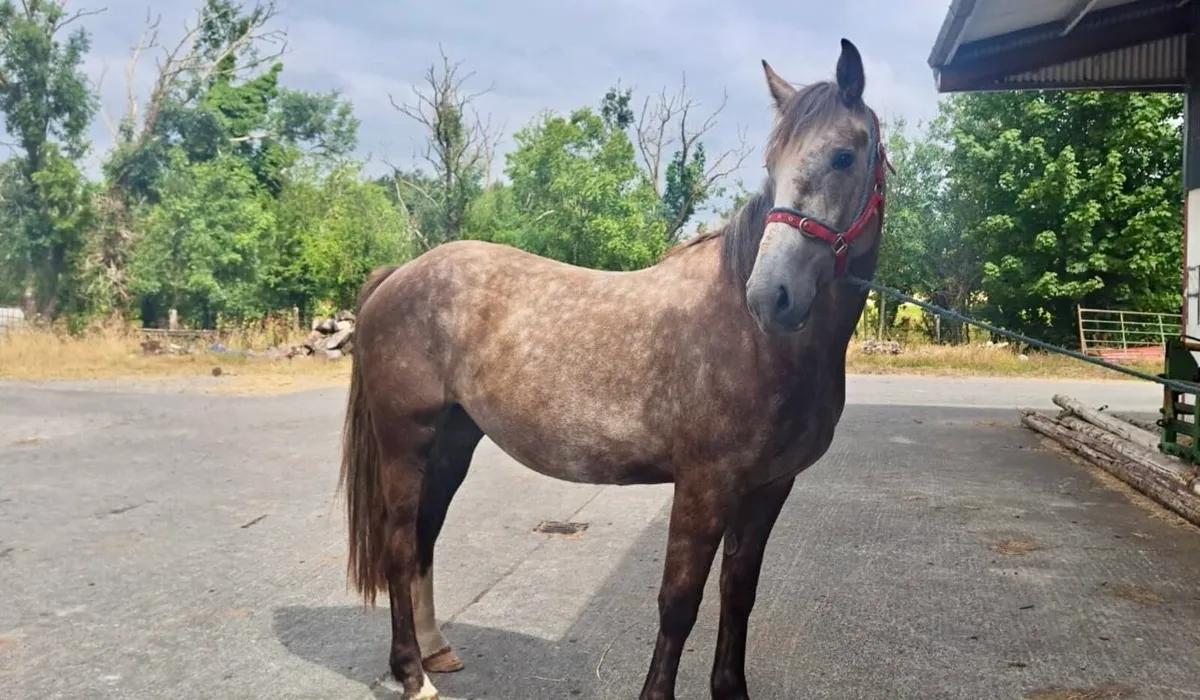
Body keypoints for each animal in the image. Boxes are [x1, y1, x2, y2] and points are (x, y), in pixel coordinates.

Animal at [338, 38, 892, 700]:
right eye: (772, 162)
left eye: (843, 156)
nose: (771, 296)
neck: (758, 341)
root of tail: (400, 274)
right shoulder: (705, 484)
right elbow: (679, 602)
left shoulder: (769, 487)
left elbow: (738, 594)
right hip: (407, 441)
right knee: (399, 544)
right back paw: (412, 674)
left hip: (452, 441)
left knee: (423, 537)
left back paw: (435, 652)